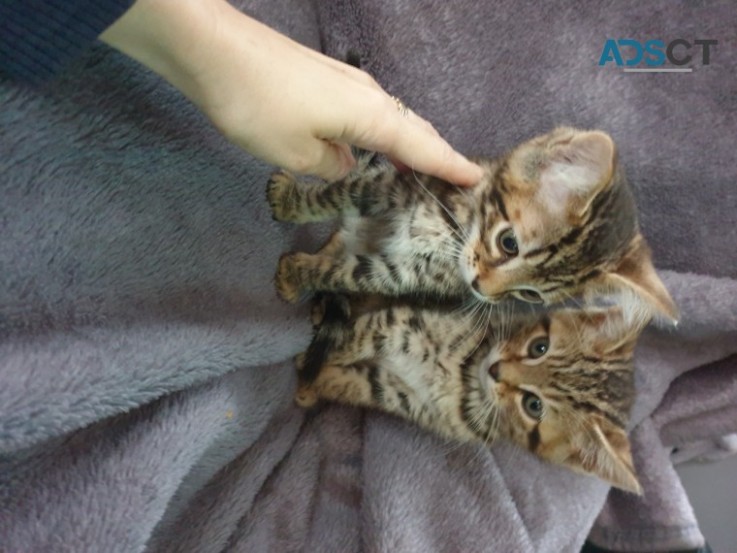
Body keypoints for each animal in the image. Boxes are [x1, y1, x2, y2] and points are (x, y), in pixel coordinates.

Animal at [268, 127, 676, 322]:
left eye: (532, 295)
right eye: (508, 243)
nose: (481, 288)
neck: (458, 229)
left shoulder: (401, 275)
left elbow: (344, 273)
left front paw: (299, 274)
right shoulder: (398, 185)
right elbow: (338, 194)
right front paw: (290, 201)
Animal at [296, 296, 640, 494]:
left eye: (533, 405)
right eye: (539, 347)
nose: (496, 370)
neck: (464, 375)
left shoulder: (400, 395)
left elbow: (355, 384)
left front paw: (315, 381)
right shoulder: (400, 321)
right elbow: (356, 336)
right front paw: (310, 366)